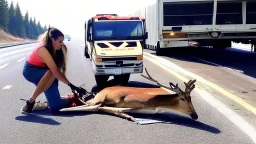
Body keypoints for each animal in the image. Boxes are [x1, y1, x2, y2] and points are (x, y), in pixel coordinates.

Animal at [60, 68, 198, 121]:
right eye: (182, 98)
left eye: (191, 98)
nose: (195, 115)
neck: (157, 105)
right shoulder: (132, 101)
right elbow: (111, 108)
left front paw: (129, 116)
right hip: (100, 97)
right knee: (91, 103)